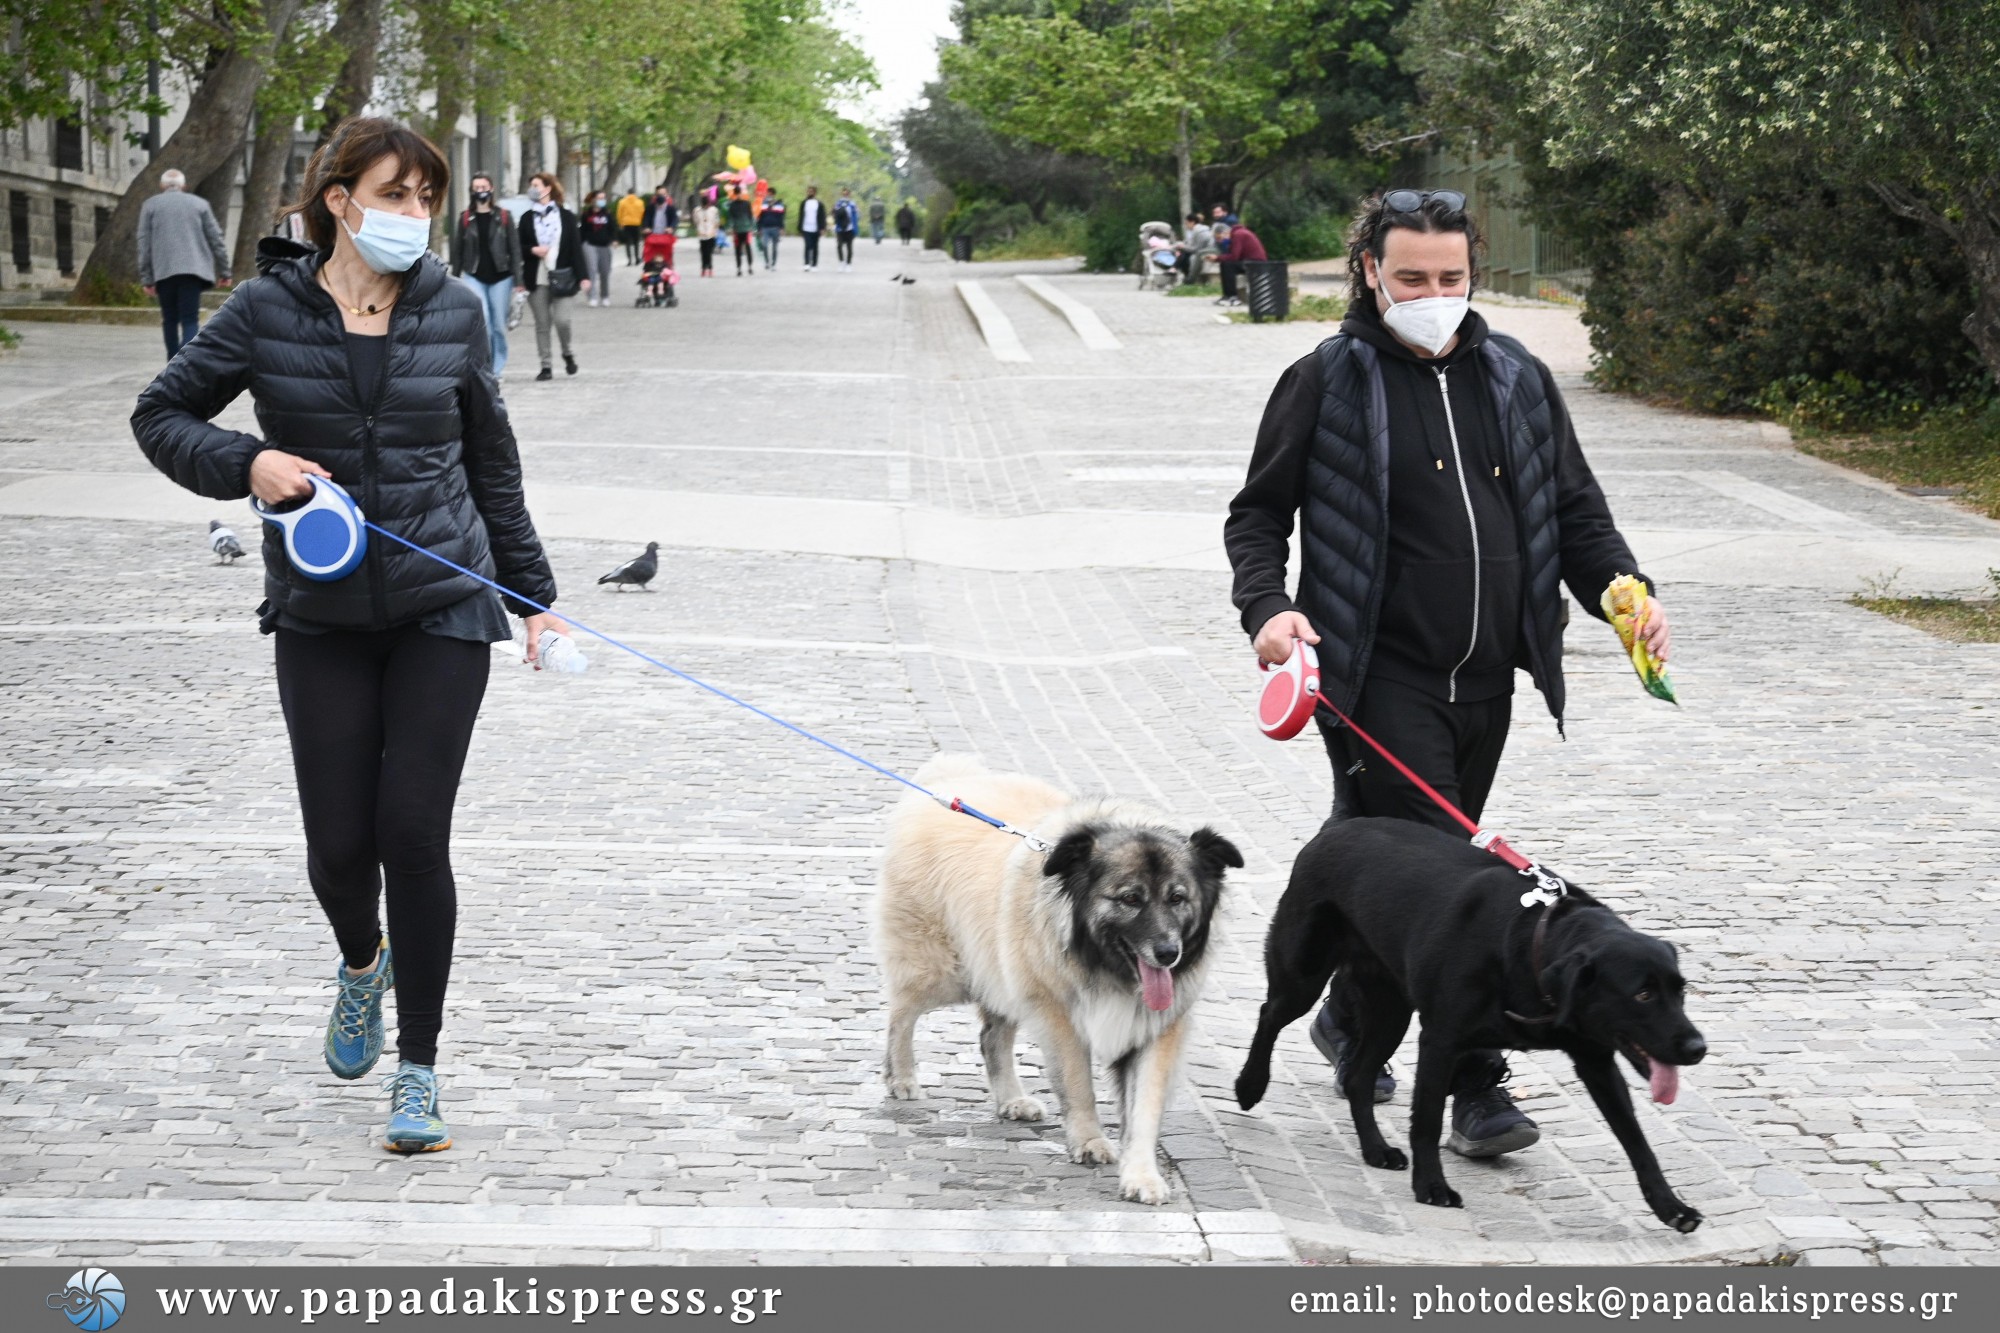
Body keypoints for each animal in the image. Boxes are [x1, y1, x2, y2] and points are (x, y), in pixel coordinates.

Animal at [1224, 816, 1712, 1232]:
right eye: (1642, 994)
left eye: (1680, 991)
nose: (1697, 1048)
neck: (1530, 947)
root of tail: (1336, 829)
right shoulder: (1440, 1041)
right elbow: (1426, 1122)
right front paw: (1431, 1187)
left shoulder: (1595, 1059)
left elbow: (1637, 1140)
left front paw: (1670, 1205)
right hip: (1303, 975)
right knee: (1270, 1015)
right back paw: (1250, 1084)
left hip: (1390, 1012)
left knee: (1360, 1076)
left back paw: (1375, 1149)